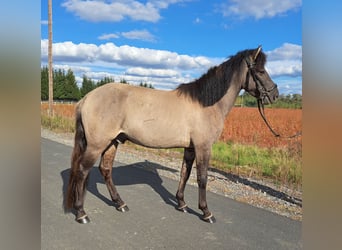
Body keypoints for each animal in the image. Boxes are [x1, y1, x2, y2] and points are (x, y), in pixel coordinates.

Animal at [65, 46, 280, 224]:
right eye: (261, 71)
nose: (275, 94)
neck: (205, 103)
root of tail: (86, 98)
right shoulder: (203, 147)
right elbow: (202, 178)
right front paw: (206, 212)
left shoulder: (190, 148)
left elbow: (185, 174)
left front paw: (182, 204)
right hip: (97, 145)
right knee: (82, 171)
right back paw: (81, 213)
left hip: (113, 141)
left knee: (106, 170)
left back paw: (120, 203)